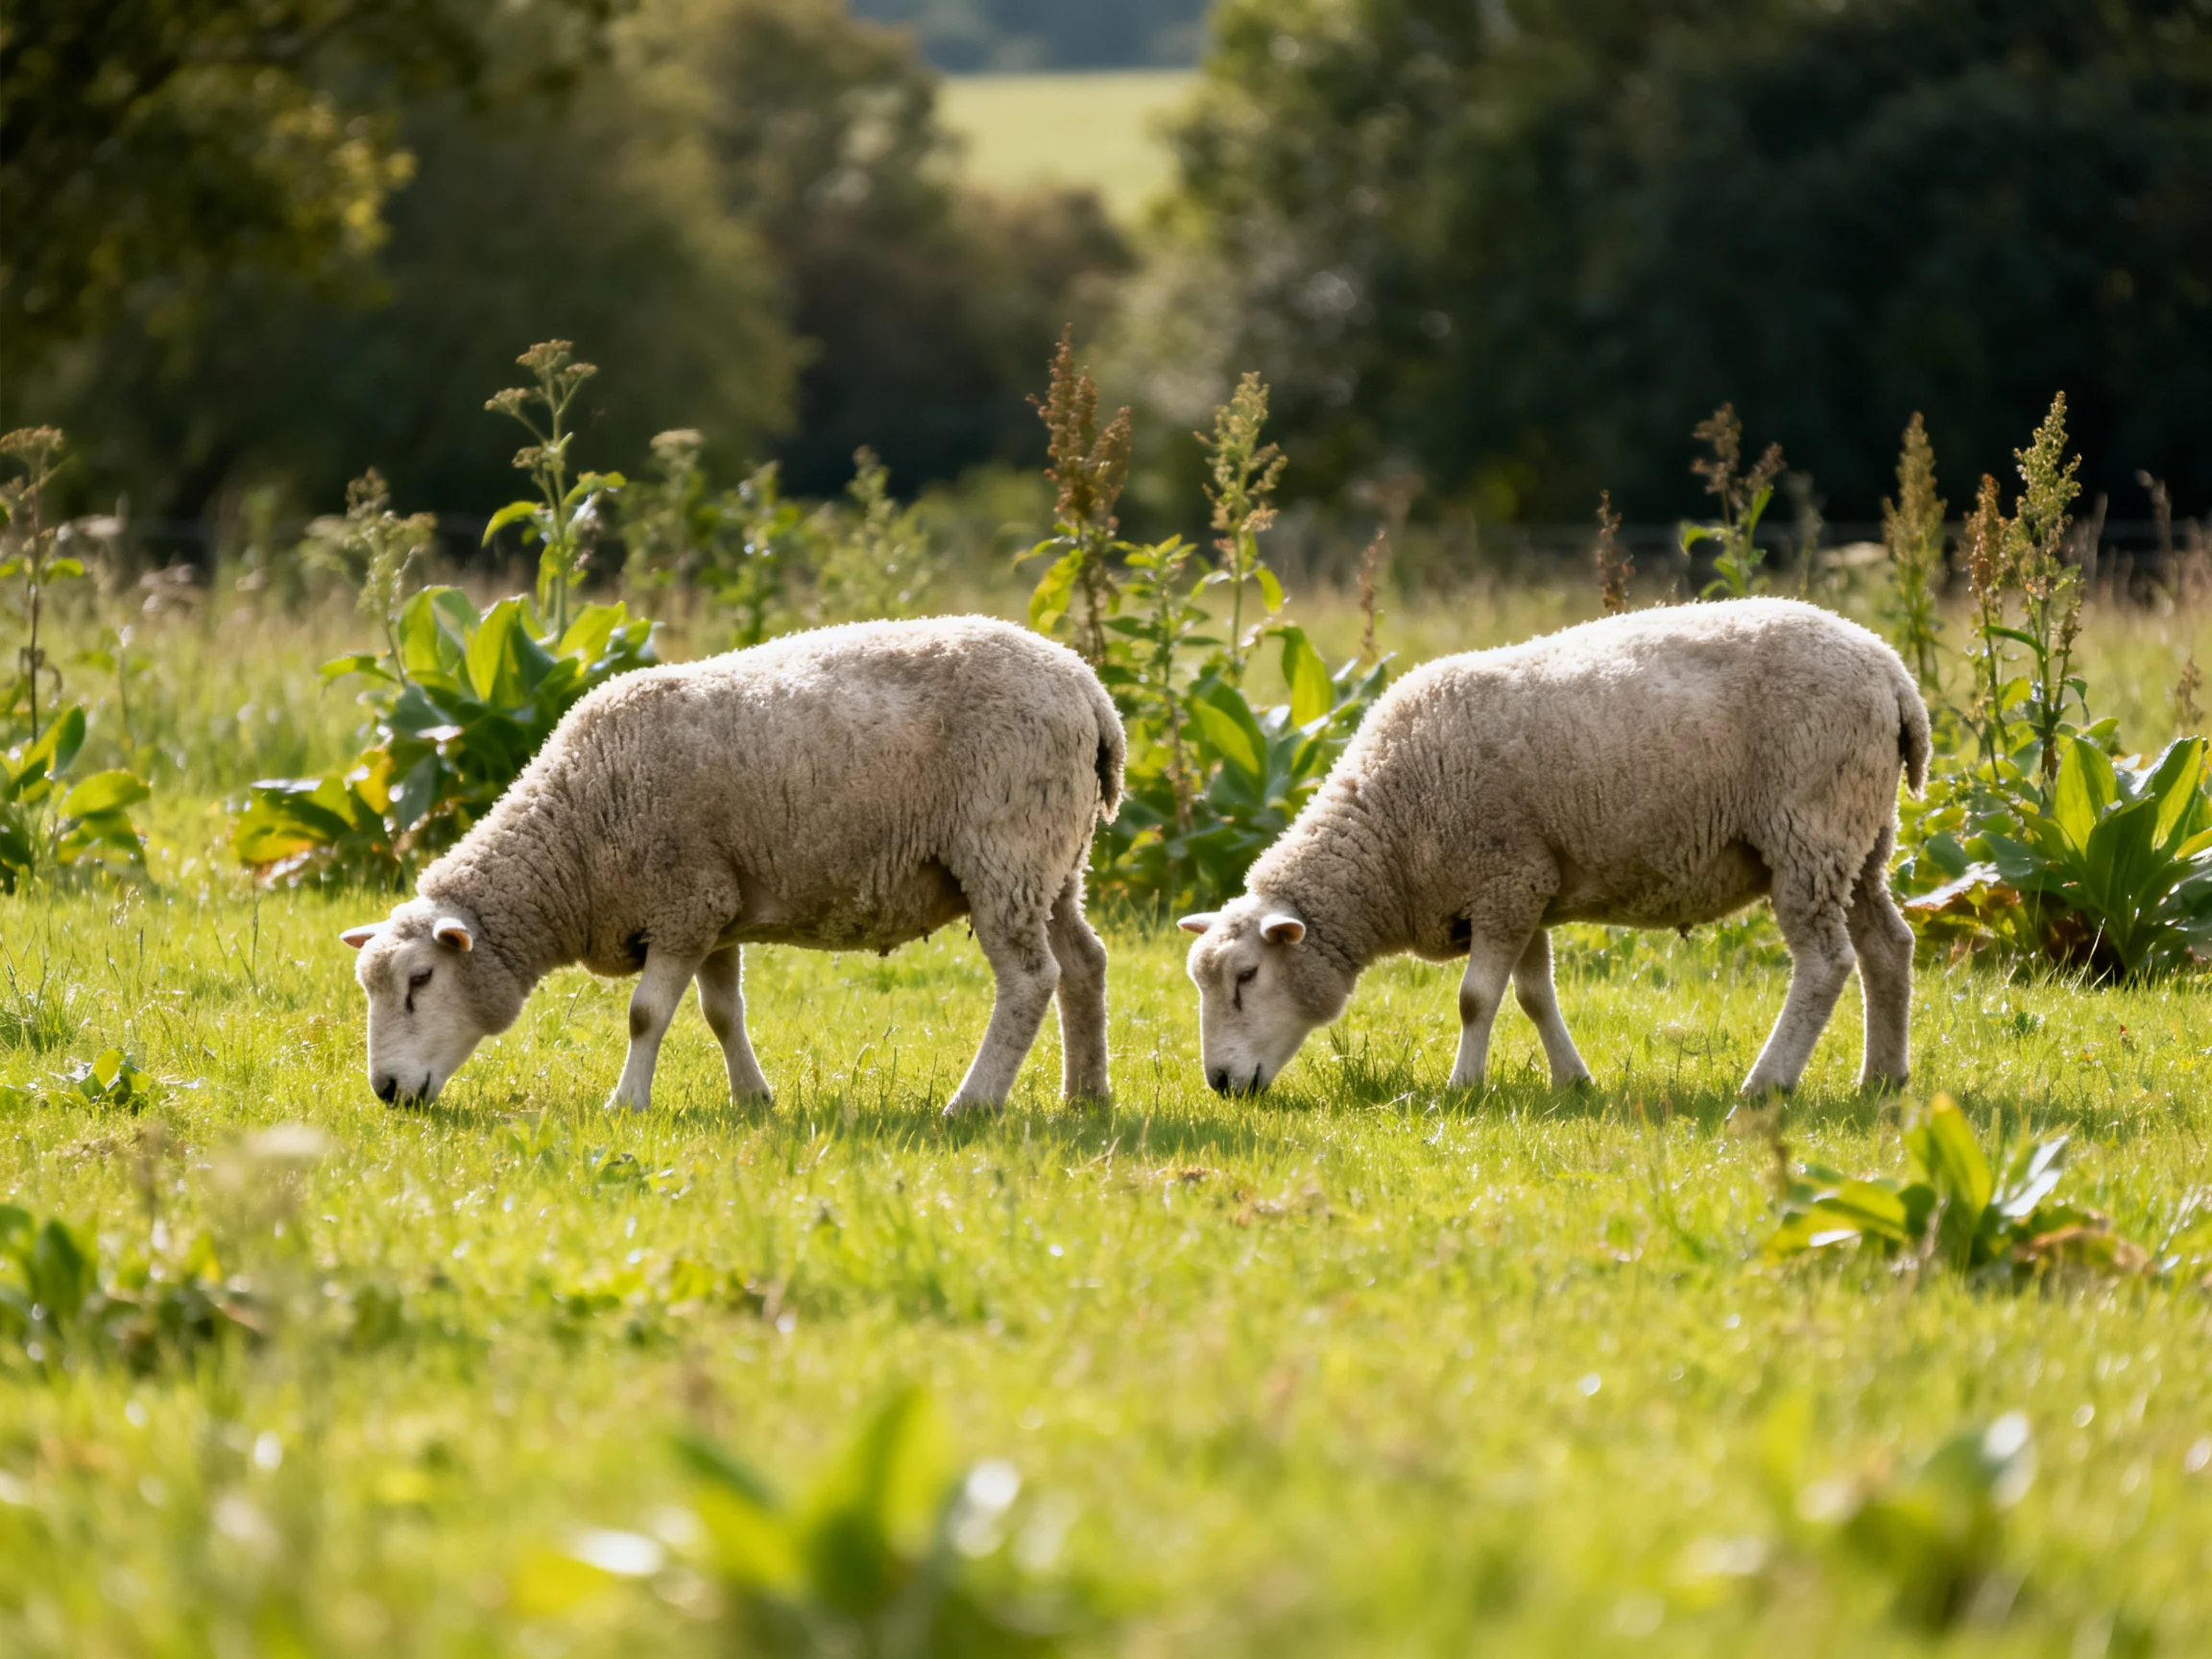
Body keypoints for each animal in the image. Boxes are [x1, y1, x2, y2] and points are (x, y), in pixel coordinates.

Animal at [340, 616, 1125, 1117]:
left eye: (420, 980)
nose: (385, 1093)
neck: (572, 840)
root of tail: (1089, 688)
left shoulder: (684, 900)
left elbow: (645, 1014)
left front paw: (626, 1103)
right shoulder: (713, 908)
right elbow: (721, 1013)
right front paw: (753, 1099)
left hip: (1007, 847)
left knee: (1029, 980)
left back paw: (973, 1103)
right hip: (1058, 859)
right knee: (1083, 964)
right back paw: (1086, 1095)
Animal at [1179, 598, 1930, 1098]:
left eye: (1247, 977)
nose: (1220, 1083)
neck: (1386, 837)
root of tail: (1890, 669)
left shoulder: (1504, 878)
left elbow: (1475, 998)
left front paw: (1462, 1087)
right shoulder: (1523, 884)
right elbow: (1534, 995)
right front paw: (1573, 1082)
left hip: (1811, 828)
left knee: (1826, 963)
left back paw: (1768, 1082)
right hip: (1863, 837)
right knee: (1888, 947)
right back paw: (1882, 1078)